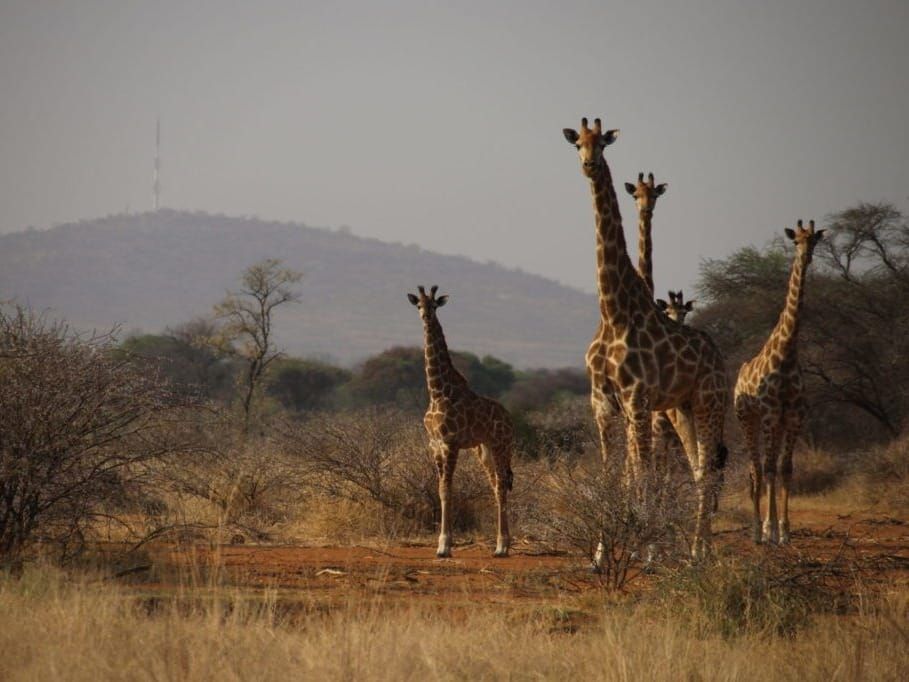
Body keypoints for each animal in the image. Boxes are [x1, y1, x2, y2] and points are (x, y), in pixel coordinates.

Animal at [407, 285, 514, 558]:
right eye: (418, 305)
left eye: (434, 305)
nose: (426, 317)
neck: (437, 391)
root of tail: (509, 418)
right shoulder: (435, 445)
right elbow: (441, 490)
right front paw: (442, 545)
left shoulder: (451, 443)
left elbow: (447, 489)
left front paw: (444, 546)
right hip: (483, 449)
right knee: (495, 486)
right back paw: (503, 544)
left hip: (501, 446)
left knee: (501, 486)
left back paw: (502, 547)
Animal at [563, 117, 729, 558]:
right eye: (577, 144)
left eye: (602, 143)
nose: (588, 164)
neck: (613, 311)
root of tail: (720, 355)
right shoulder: (603, 401)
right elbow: (612, 473)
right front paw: (601, 553)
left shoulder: (637, 398)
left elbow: (640, 475)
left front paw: (641, 546)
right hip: (681, 408)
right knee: (699, 467)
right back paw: (697, 547)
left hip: (708, 401)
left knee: (707, 470)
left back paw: (698, 550)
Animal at [734, 220, 824, 545]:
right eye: (796, 240)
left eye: (814, 241)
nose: (805, 256)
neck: (787, 353)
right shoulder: (771, 413)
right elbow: (770, 469)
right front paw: (768, 529)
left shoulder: (794, 415)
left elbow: (786, 468)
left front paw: (785, 530)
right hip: (748, 418)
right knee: (756, 469)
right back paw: (756, 532)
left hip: (776, 422)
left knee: (767, 466)